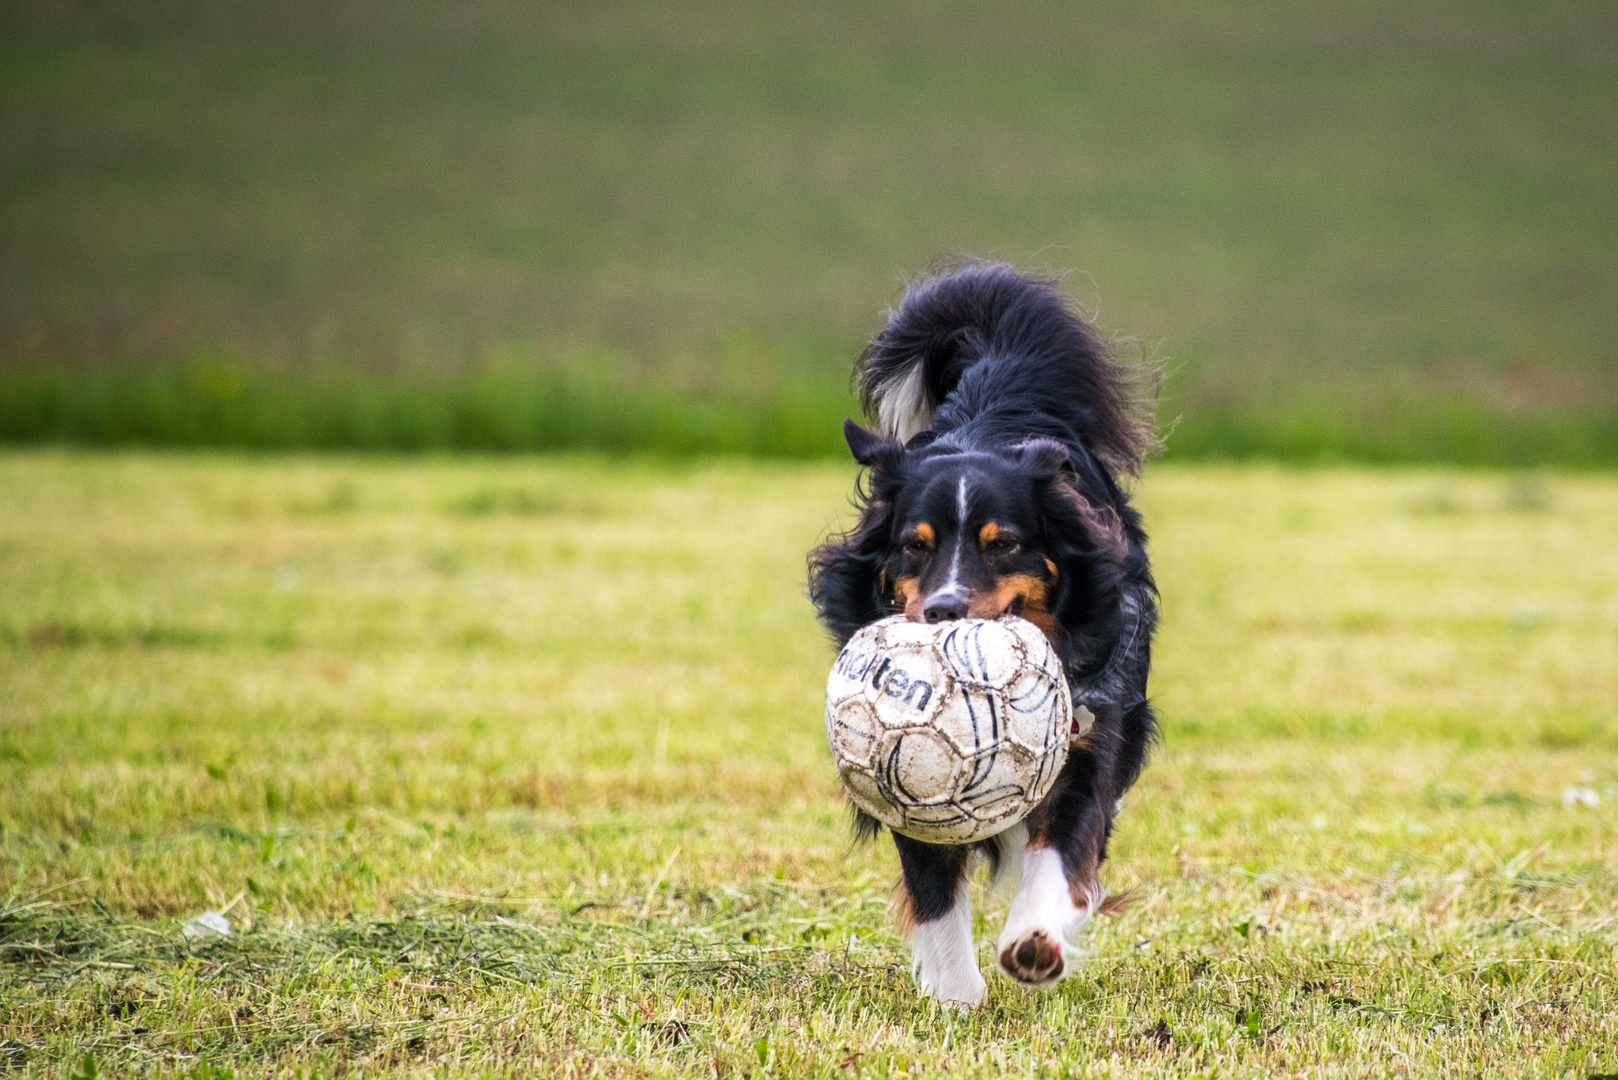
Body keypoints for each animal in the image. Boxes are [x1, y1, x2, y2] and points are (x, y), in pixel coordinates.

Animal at [809, 262, 1152, 1003]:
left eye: (1005, 545)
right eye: (914, 546)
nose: (945, 611)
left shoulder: (1088, 732)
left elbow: (1063, 850)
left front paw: (1035, 941)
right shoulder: (901, 781)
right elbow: (934, 887)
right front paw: (956, 998)